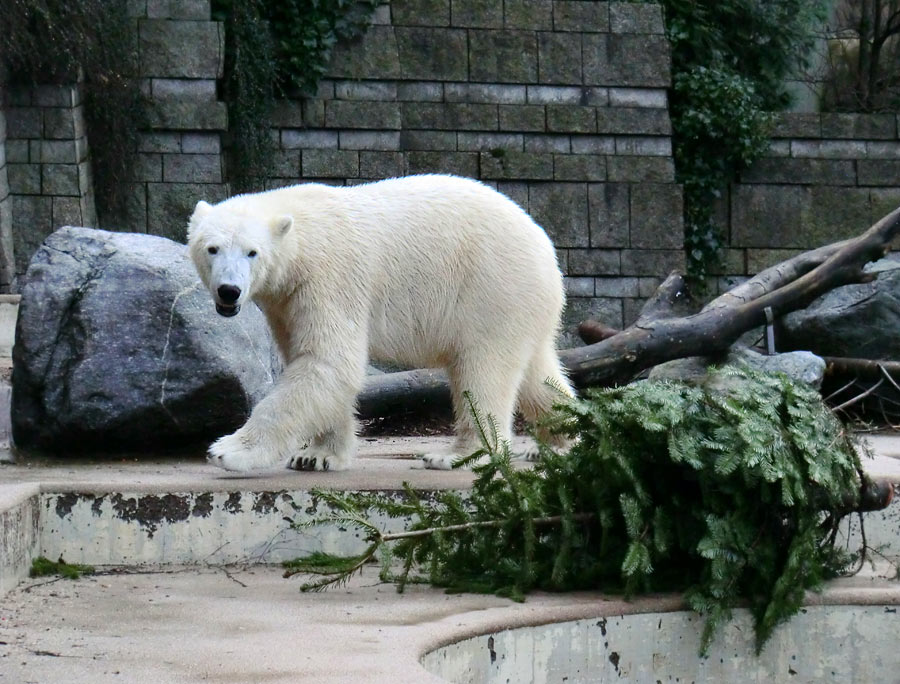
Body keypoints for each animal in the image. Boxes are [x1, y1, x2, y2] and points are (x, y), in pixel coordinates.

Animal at [186, 174, 572, 472]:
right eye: (212, 248)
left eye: (252, 252)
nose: (230, 291)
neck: (301, 231)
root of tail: (545, 246)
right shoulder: (285, 302)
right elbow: (312, 363)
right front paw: (317, 456)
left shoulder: (328, 280)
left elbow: (329, 362)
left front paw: (228, 450)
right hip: (521, 304)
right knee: (536, 374)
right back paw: (561, 440)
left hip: (490, 288)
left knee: (482, 372)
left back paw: (455, 456)